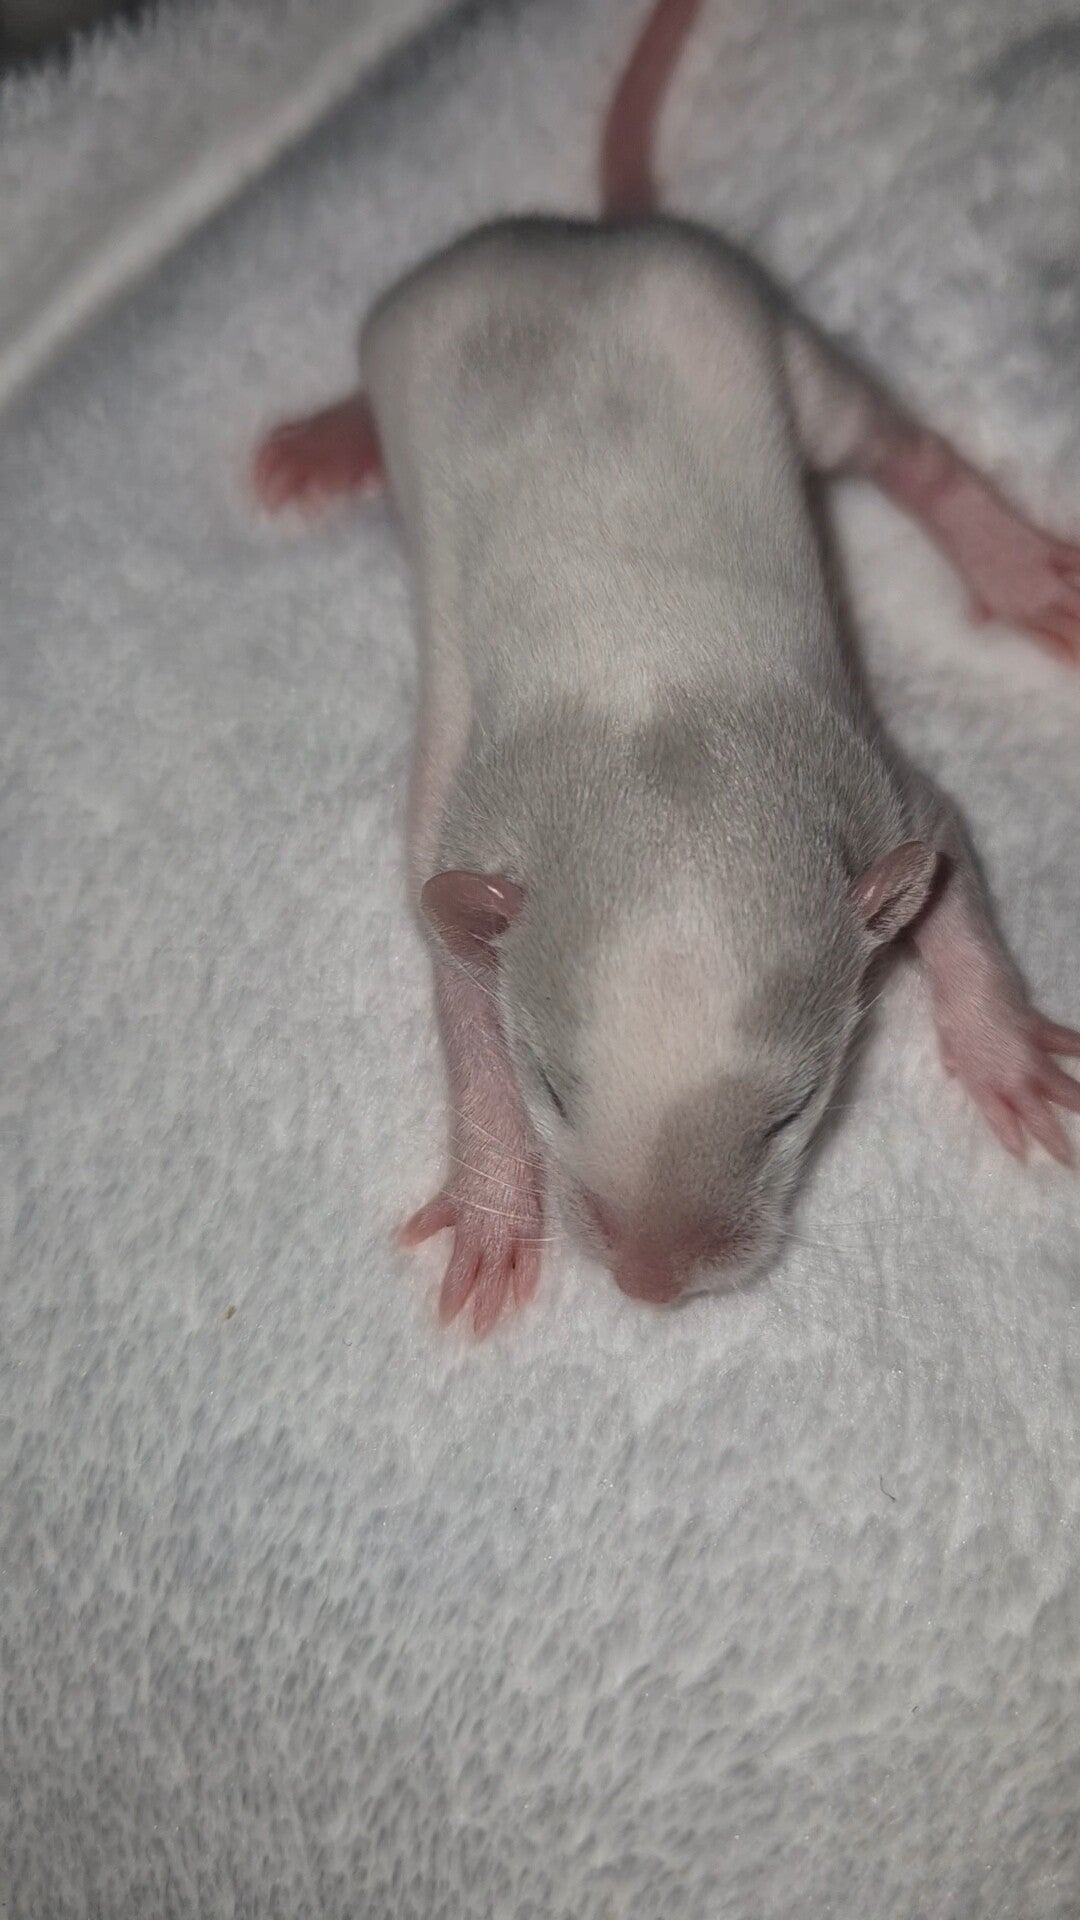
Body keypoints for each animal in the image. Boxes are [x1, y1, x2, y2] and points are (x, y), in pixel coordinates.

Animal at [254, 0, 1080, 1333]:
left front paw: (1001, 1048)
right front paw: (496, 1197)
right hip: (412, 323)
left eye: (793, 1111)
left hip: (763, 325)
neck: (655, 711)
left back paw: (1005, 559)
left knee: (892, 444)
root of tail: (581, 244)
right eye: (554, 1091)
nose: (650, 1284)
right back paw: (328, 440)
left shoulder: (865, 776)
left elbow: (946, 856)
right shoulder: (468, 830)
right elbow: (460, 992)